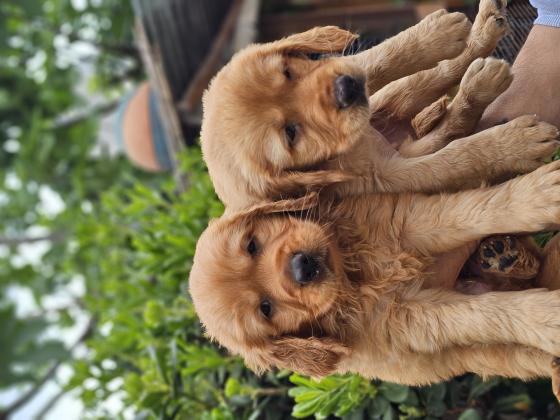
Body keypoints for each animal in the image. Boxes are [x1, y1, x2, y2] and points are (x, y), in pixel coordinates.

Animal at [188, 161, 560, 388]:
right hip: (491, 356)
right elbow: (485, 313)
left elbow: (472, 212)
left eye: (252, 245)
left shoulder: (407, 221)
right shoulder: (410, 316)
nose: (302, 266)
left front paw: (541, 195)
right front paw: (547, 318)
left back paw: (504, 254)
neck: (353, 271)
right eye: (266, 309)